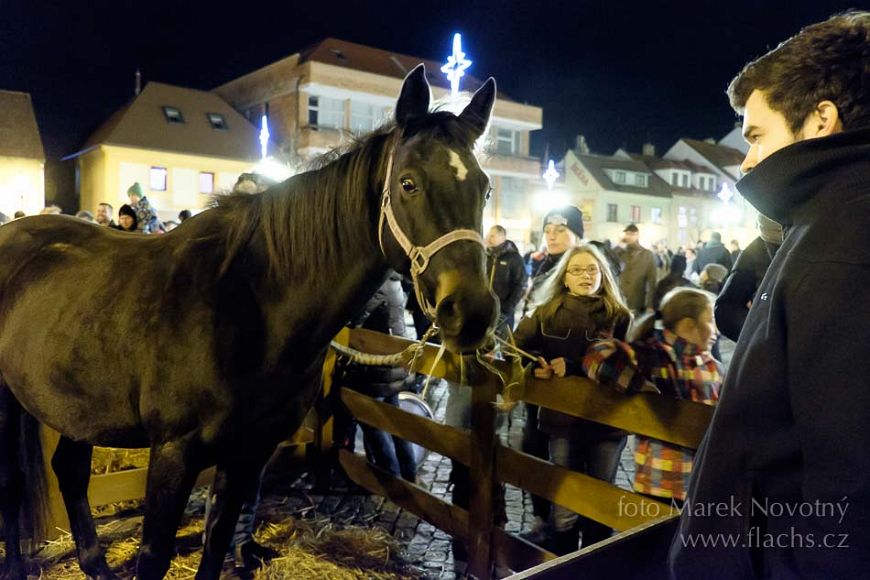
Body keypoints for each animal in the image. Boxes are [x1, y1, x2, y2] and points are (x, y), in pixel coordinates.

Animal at [0, 65, 500, 576]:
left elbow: (219, 539)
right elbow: (154, 554)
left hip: (78, 406)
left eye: (485, 188)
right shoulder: (174, 452)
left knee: (69, 470)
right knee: (13, 487)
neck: (248, 303)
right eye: (408, 183)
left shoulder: (249, 451)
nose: (472, 311)